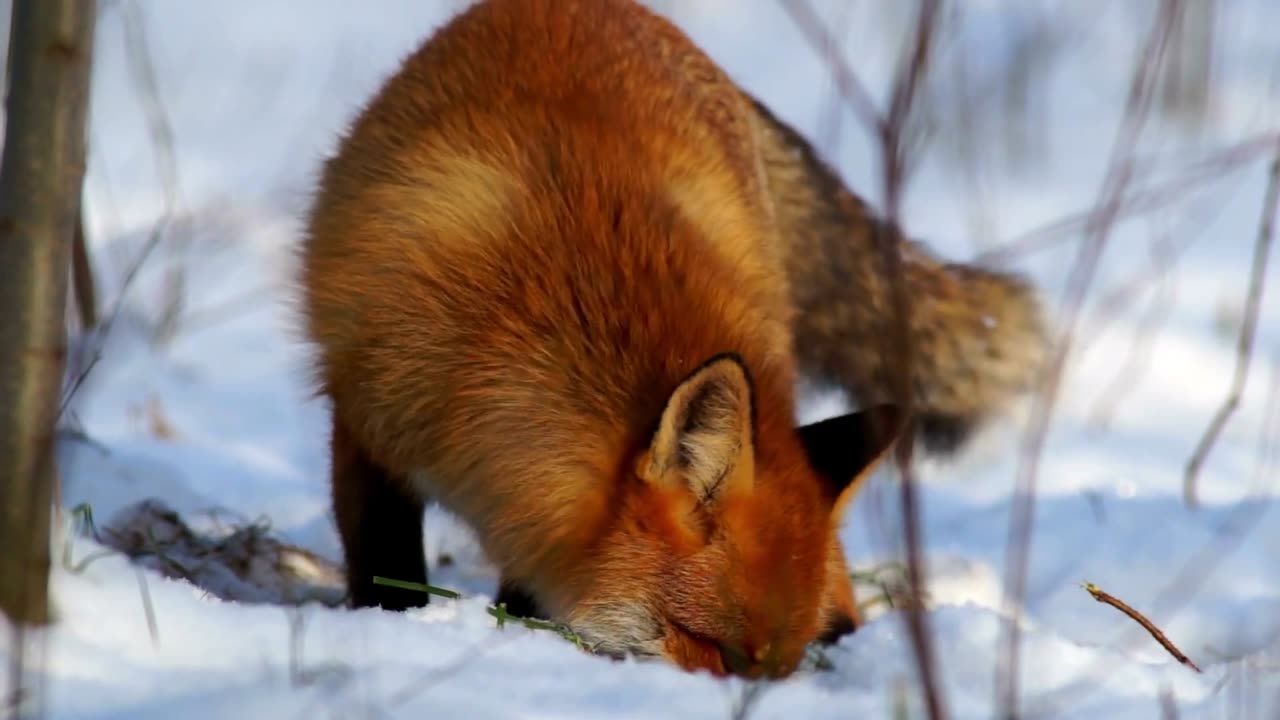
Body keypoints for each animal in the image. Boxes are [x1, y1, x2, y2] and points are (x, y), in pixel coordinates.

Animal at [296, 0, 1039, 676]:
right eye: (706, 641)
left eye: (782, 665)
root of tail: (607, 6)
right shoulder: (370, 414)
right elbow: (383, 554)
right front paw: (394, 619)